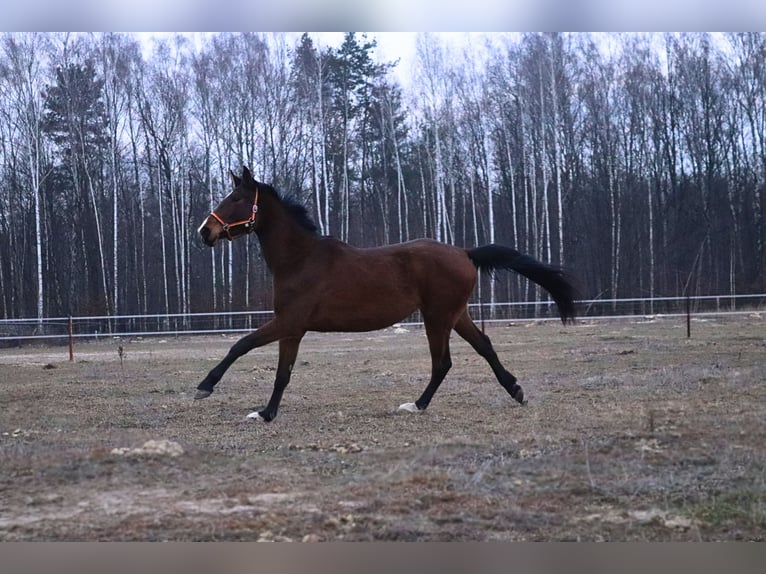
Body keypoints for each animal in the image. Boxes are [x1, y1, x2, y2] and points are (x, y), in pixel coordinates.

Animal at [195, 166, 580, 424]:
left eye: (236, 199)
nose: (205, 231)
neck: (301, 259)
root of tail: (465, 252)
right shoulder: (291, 327)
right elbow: (269, 363)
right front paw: (260, 409)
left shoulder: (290, 323)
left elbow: (249, 351)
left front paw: (218, 392)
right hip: (456, 315)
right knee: (483, 347)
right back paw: (515, 391)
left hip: (438, 318)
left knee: (442, 363)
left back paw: (416, 405)